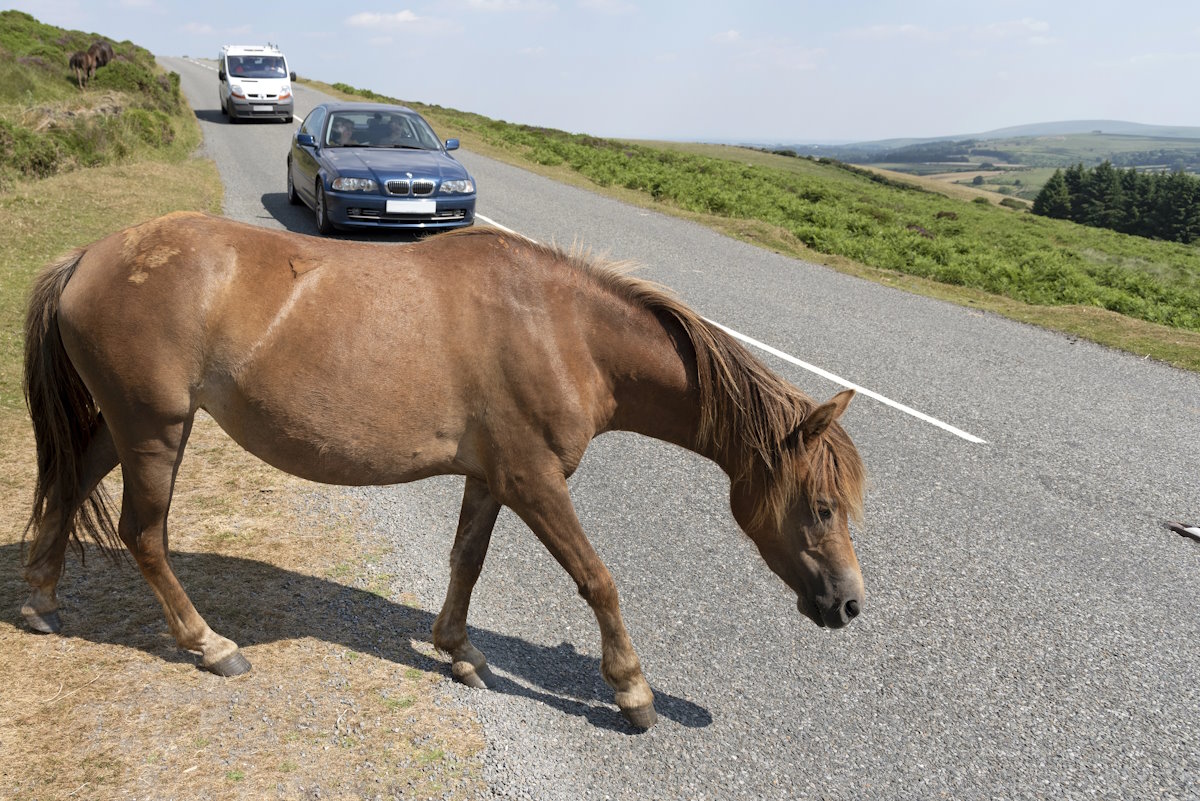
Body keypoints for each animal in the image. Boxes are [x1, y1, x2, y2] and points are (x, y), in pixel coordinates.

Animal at [21, 212, 867, 729]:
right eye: (824, 506)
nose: (851, 604)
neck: (562, 329)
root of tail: (88, 258)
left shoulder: (491, 476)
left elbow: (467, 559)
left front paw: (458, 650)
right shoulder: (534, 481)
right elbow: (597, 579)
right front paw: (631, 688)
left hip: (127, 427)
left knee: (69, 486)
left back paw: (40, 602)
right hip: (155, 431)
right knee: (144, 535)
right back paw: (209, 643)